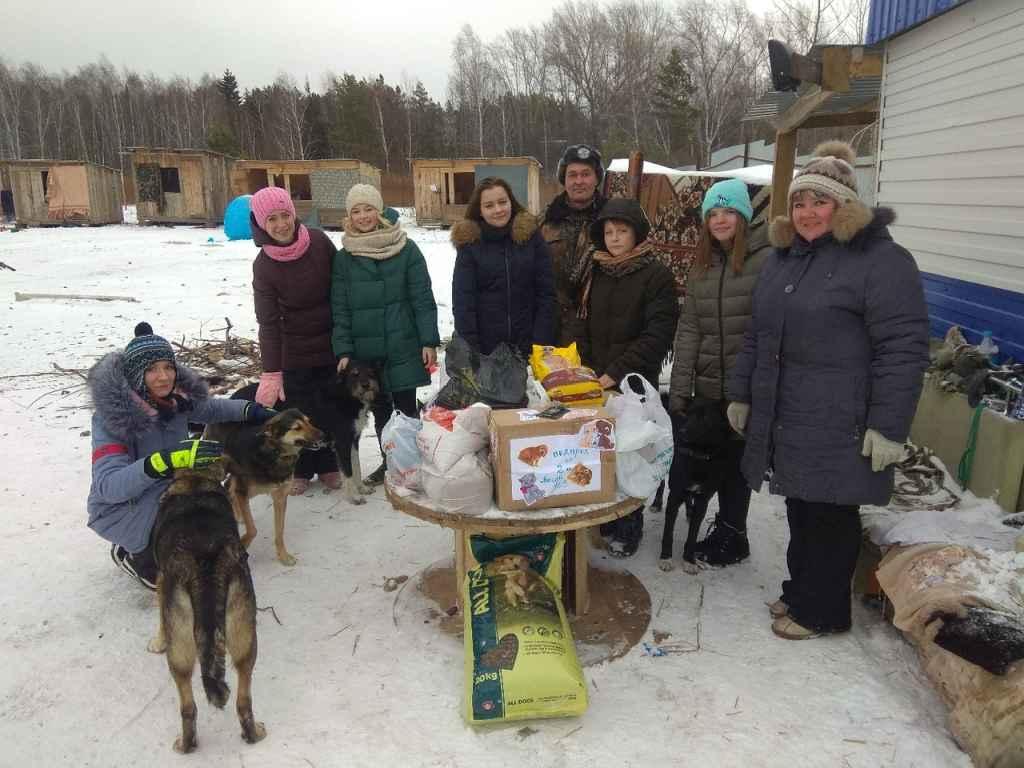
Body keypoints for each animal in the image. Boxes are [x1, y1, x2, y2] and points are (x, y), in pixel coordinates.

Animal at [149, 466, 270, 753]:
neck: (193, 480)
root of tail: (204, 566)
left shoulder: (161, 581)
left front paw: (157, 641)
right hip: (243, 638)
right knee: (240, 701)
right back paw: (252, 734)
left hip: (179, 650)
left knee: (188, 705)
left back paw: (185, 745)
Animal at [203, 409, 323, 565]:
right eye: (297, 427)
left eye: (309, 421)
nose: (323, 435)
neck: (275, 454)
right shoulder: (243, 491)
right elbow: (253, 530)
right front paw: (243, 543)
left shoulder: (280, 497)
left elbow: (279, 531)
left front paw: (283, 556)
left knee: (230, 487)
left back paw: (238, 515)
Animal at [663, 399, 737, 573]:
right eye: (688, 414)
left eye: (705, 418)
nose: (682, 431)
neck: (699, 457)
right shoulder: (674, 495)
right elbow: (668, 532)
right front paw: (666, 558)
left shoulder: (703, 500)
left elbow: (693, 535)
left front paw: (689, 560)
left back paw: (689, 512)